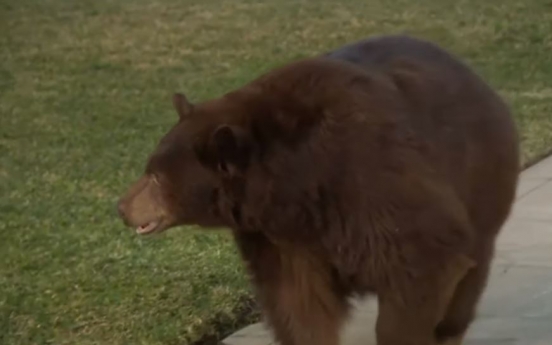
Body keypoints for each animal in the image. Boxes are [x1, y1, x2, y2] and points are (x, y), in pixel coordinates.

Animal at [117, 35, 520, 344]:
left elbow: (423, 259)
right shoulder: (280, 237)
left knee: (464, 286)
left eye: (154, 176)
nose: (121, 207)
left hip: (482, 188)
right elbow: (297, 303)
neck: (292, 185)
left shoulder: (370, 180)